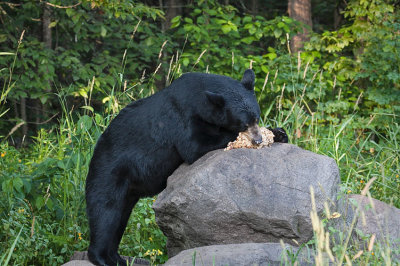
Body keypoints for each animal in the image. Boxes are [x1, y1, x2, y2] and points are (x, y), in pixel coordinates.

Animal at [86, 69, 288, 264]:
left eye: (257, 117)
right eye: (243, 123)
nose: (257, 139)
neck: (199, 99)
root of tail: (96, 151)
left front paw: (278, 133)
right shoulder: (182, 117)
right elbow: (194, 145)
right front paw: (238, 138)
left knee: (120, 218)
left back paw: (117, 257)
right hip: (110, 172)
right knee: (106, 211)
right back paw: (103, 258)